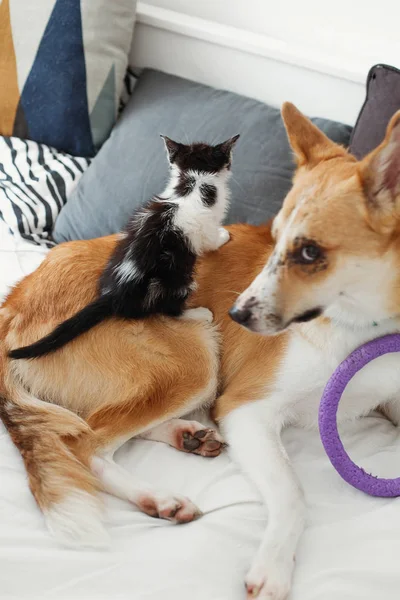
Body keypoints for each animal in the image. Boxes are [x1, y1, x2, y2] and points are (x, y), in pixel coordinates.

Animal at [10, 134, 239, 358]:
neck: (192, 182)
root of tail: (116, 292)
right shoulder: (205, 225)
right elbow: (210, 238)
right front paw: (223, 235)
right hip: (175, 278)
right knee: (169, 309)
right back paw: (199, 313)